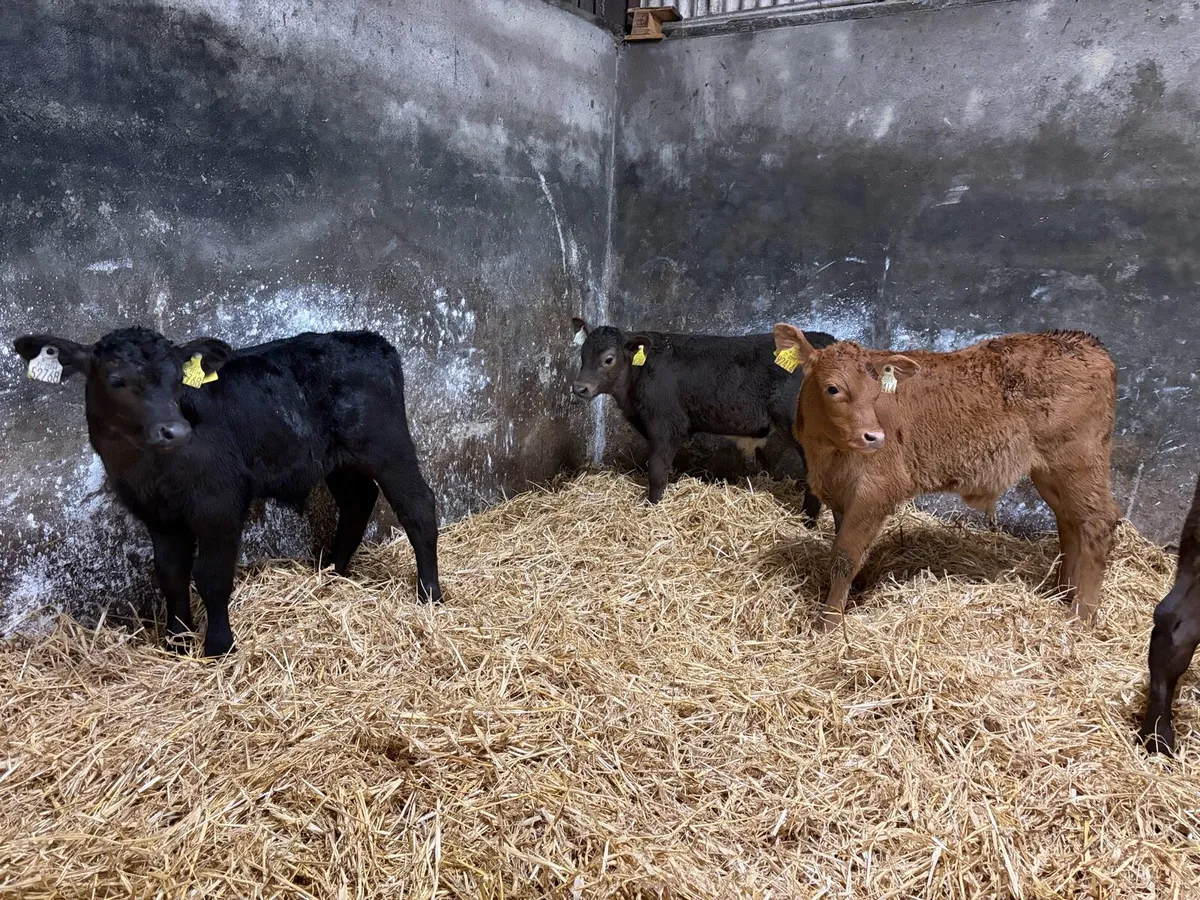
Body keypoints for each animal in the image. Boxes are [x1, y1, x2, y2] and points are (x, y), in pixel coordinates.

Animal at [14, 327, 442, 657]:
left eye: (177, 380)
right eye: (117, 380)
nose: (176, 430)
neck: (148, 468)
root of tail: (369, 340)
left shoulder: (218, 502)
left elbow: (211, 575)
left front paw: (218, 646)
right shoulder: (157, 514)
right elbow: (170, 573)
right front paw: (176, 641)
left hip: (386, 445)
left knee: (418, 507)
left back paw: (430, 595)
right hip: (338, 459)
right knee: (358, 501)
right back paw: (333, 573)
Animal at [570, 318, 836, 518]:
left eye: (609, 359)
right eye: (582, 355)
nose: (579, 388)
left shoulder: (665, 425)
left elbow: (656, 471)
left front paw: (651, 506)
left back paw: (808, 520)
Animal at [771, 324, 1120, 632]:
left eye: (875, 394)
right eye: (833, 388)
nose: (874, 437)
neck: (827, 454)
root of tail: (1085, 342)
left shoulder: (877, 489)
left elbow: (845, 556)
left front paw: (828, 622)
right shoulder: (840, 493)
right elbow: (843, 548)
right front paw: (852, 594)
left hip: (1079, 460)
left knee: (1097, 523)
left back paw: (1081, 614)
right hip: (1049, 471)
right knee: (1069, 522)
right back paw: (1062, 593)